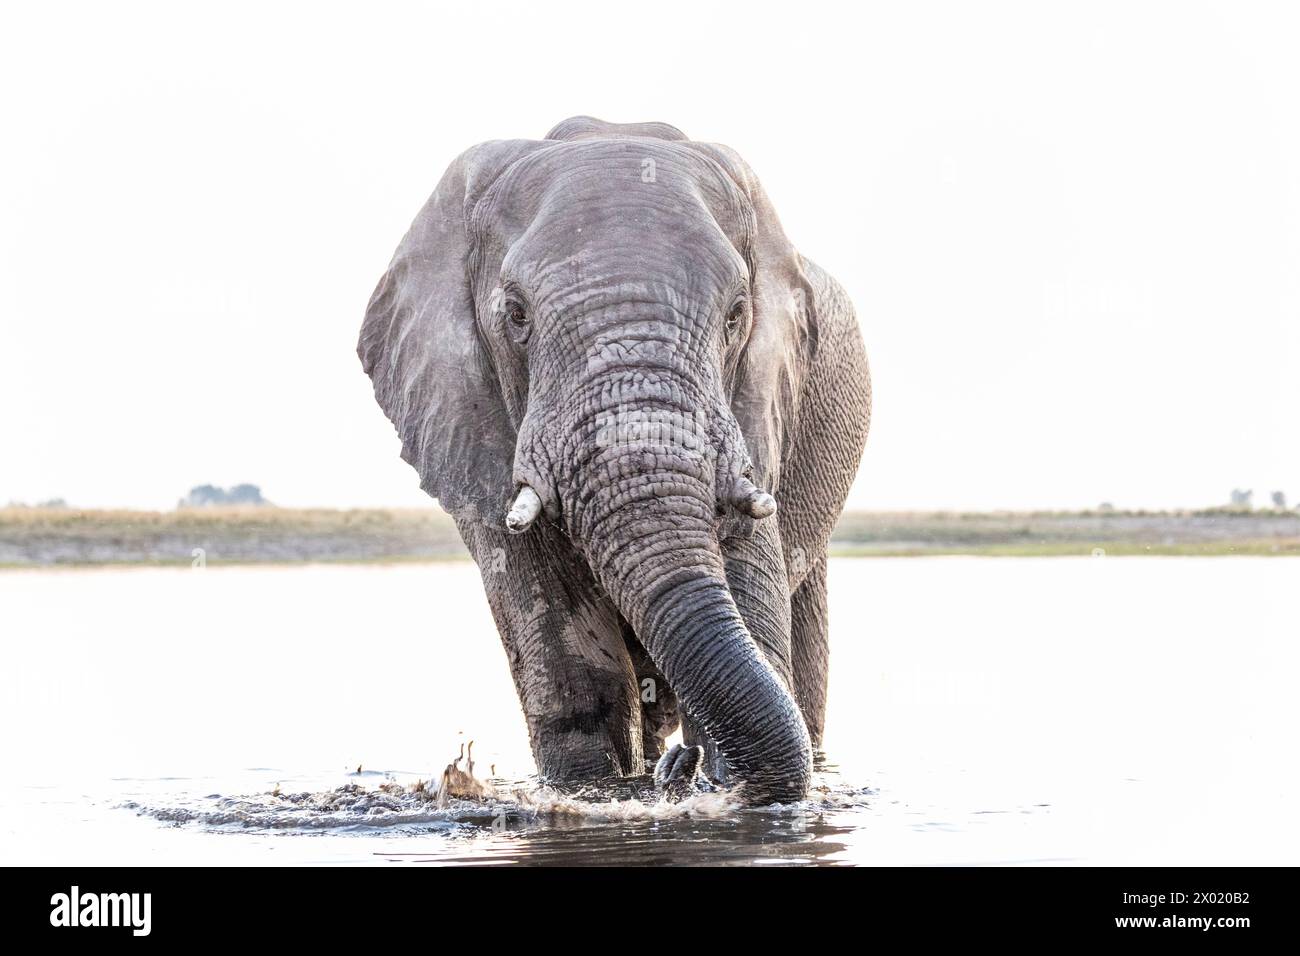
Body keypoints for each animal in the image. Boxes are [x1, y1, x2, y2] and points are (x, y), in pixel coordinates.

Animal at [358, 116, 870, 805]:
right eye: (514, 314)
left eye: (738, 314)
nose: (686, 765)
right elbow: (562, 644)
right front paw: (602, 787)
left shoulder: (759, 407)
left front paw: (702, 780)